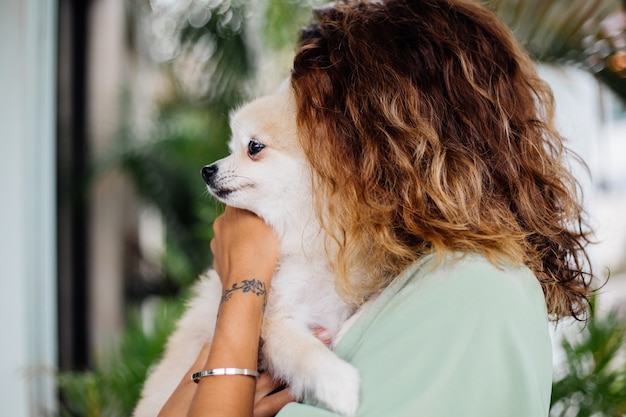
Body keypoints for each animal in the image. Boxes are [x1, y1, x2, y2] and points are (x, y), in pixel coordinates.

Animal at [132, 85, 360, 416]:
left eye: (253, 147)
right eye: (231, 147)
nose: (206, 170)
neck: (302, 234)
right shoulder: (276, 319)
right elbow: (305, 349)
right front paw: (339, 383)